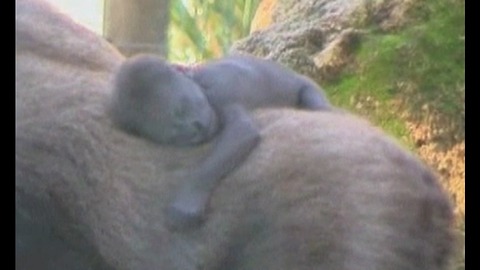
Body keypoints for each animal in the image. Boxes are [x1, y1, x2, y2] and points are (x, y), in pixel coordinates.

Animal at [110, 53, 332, 230]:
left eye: (184, 105)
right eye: (174, 129)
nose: (197, 125)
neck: (198, 80)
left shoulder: (220, 94)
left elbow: (242, 132)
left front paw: (188, 199)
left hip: (308, 86)